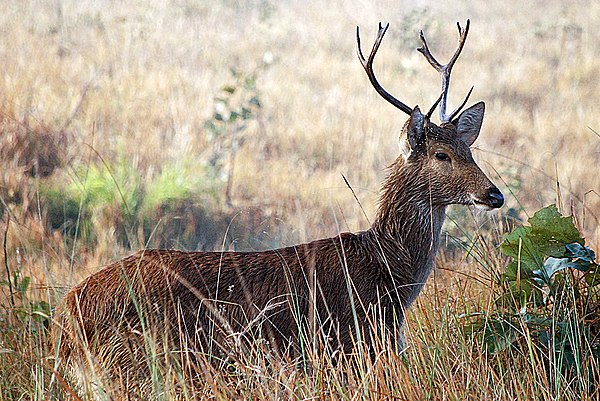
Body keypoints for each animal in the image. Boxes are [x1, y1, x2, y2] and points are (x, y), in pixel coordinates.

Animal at [56, 19, 504, 388]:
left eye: (469, 148)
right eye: (441, 155)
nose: (494, 194)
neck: (386, 270)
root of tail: (67, 315)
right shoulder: (347, 346)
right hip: (136, 362)